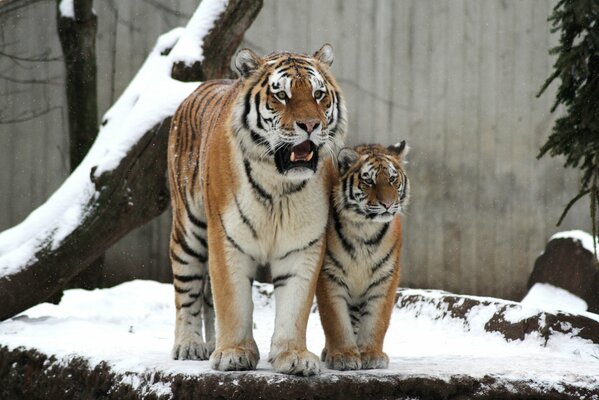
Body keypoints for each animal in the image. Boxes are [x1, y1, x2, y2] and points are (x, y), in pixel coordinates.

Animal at [168, 45, 346, 376]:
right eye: (282, 96)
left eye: (318, 95)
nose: (310, 125)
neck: (279, 185)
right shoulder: (227, 239)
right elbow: (232, 301)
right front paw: (233, 353)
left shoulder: (302, 245)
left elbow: (293, 306)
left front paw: (293, 356)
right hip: (189, 230)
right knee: (187, 290)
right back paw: (189, 345)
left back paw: (211, 344)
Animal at [316, 142, 410, 370]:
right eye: (369, 181)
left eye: (392, 179)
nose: (387, 204)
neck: (365, 228)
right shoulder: (329, 275)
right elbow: (335, 321)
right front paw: (343, 356)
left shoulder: (385, 277)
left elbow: (377, 320)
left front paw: (371, 354)